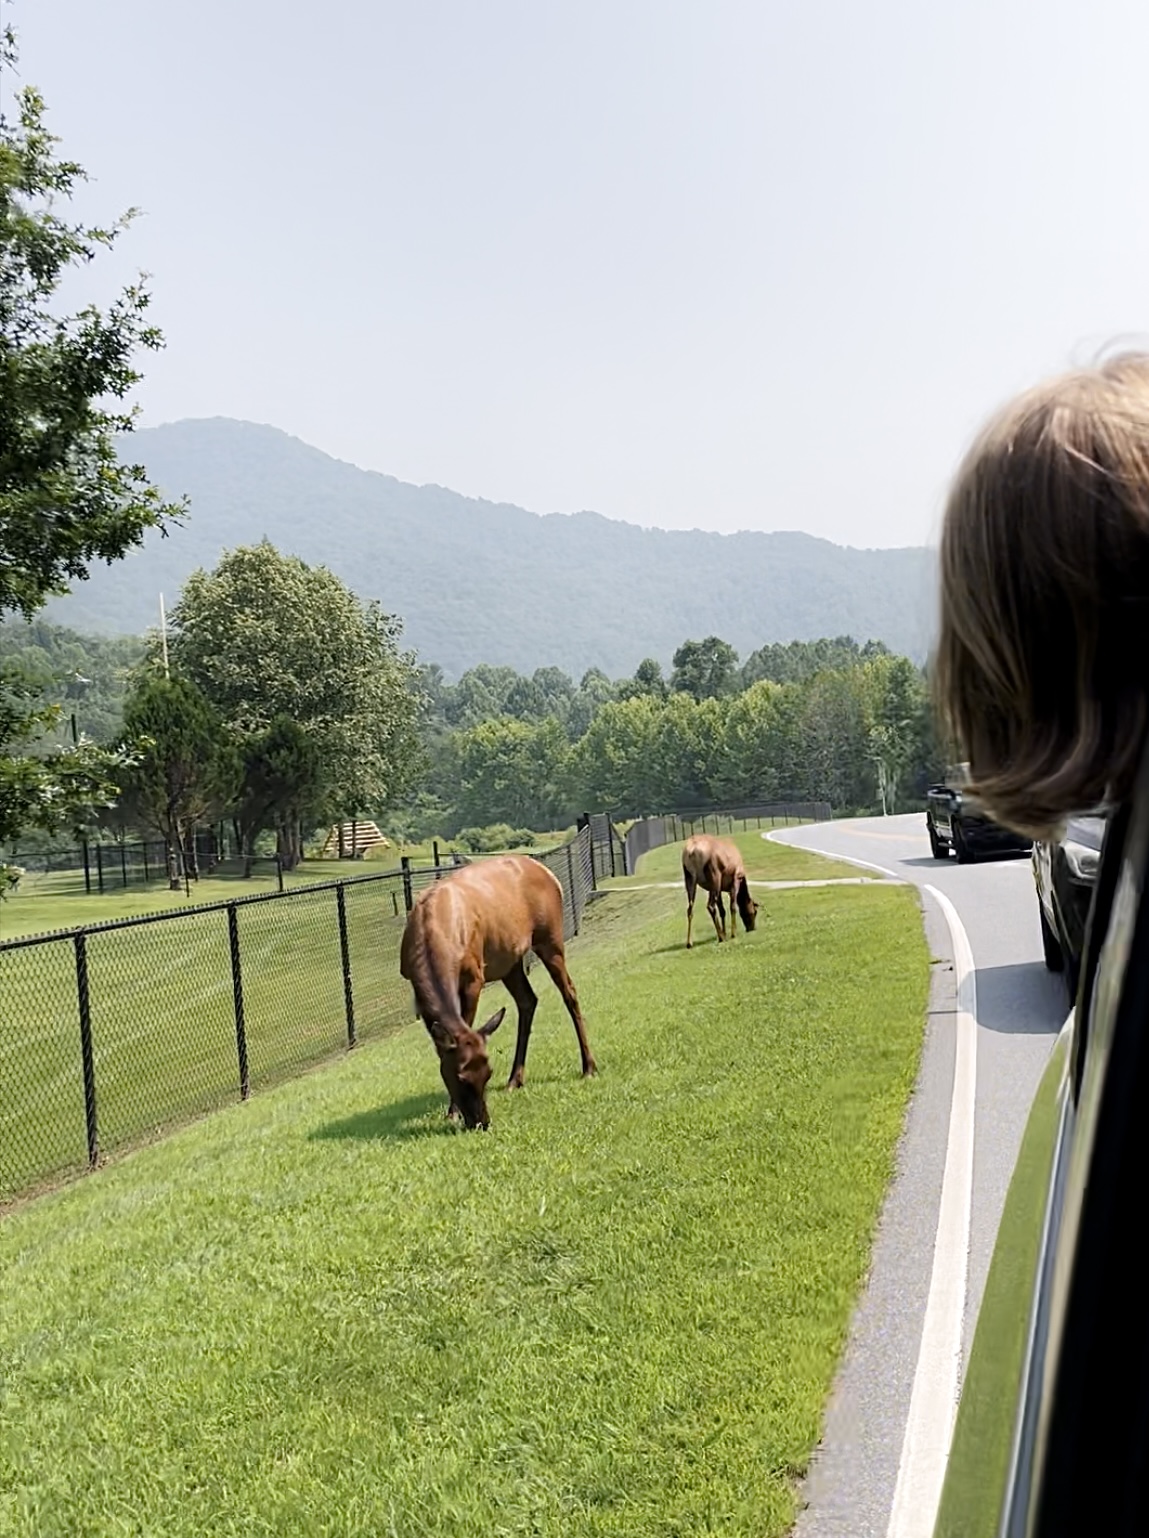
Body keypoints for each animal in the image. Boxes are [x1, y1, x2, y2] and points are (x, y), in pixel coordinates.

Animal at [399, 855, 596, 1131]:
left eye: (488, 1073)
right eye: (460, 1076)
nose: (482, 1122)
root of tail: (549, 874)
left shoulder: (474, 976)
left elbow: (465, 1023)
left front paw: (452, 1112)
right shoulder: (414, 986)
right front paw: (452, 1112)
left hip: (550, 937)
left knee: (569, 991)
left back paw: (588, 1067)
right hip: (510, 961)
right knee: (528, 999)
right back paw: (515, 1079)